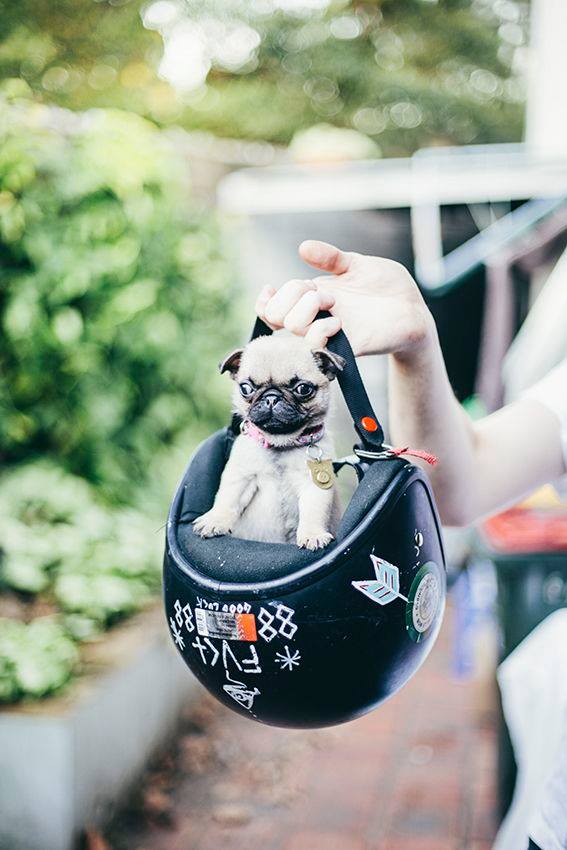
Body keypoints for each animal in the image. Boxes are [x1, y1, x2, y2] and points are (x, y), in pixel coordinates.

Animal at [195, 332, 344, 548]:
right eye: (246, 388)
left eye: (303, 389)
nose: (271, 397)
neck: (280, 444)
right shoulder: (240, 477)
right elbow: (227, 500)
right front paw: (214, 521)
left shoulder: (314, 484)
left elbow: (313, 512)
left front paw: (313, 534)